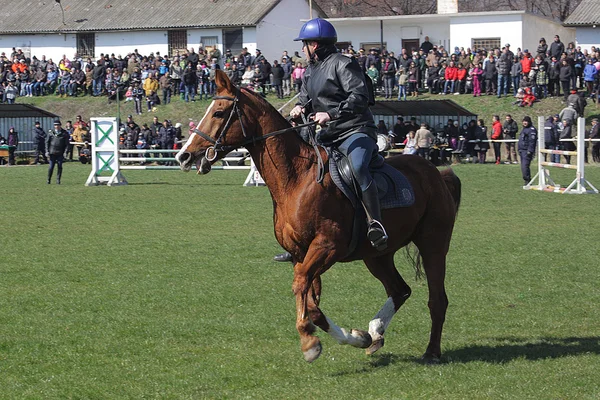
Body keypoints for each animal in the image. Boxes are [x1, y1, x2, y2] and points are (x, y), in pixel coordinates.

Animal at [176, 70, 462, 364]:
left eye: (219, 113)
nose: (183, 156)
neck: (297, 179)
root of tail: (437, 174)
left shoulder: (327, 247)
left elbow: (301, 286)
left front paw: (309, 342)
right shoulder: (300, 254)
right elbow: (311, 302)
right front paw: (355, 337)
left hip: (433, 246)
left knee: (437, 299)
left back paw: (431, 351)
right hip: (377, 255)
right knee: (399, 290)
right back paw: (375, 332)